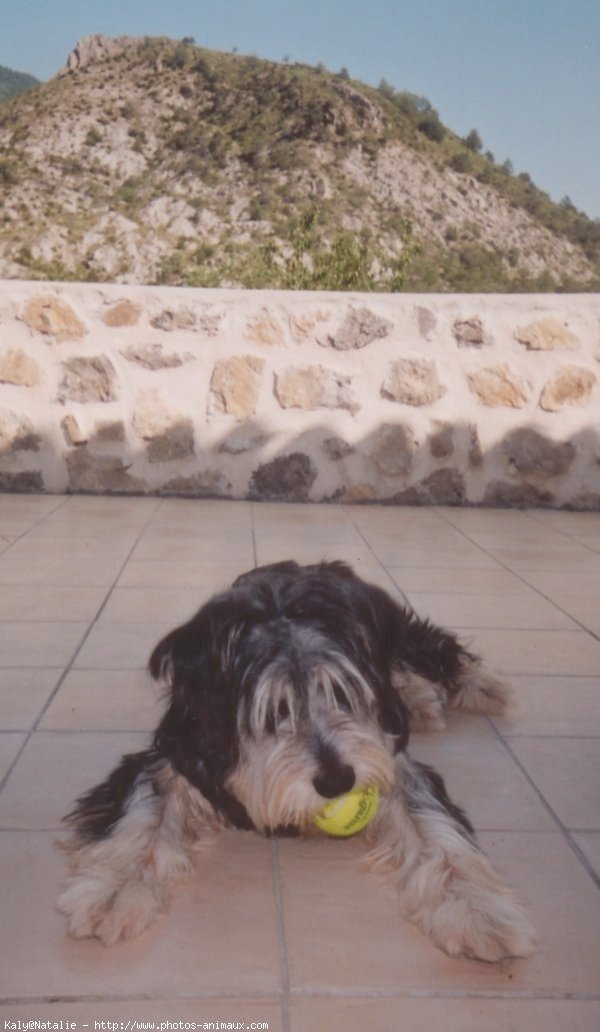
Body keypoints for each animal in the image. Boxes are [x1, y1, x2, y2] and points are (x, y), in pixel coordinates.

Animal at [57, 561, 532, 961]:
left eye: (340, 692)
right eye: (276, 709)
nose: (337, 781)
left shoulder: (392, 761)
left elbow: (434, 828)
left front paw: (475, 908)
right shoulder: (173, 754)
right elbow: (143, 814)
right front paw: (116, 888)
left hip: (398, 634)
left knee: (429, 647)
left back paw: (468, 687)